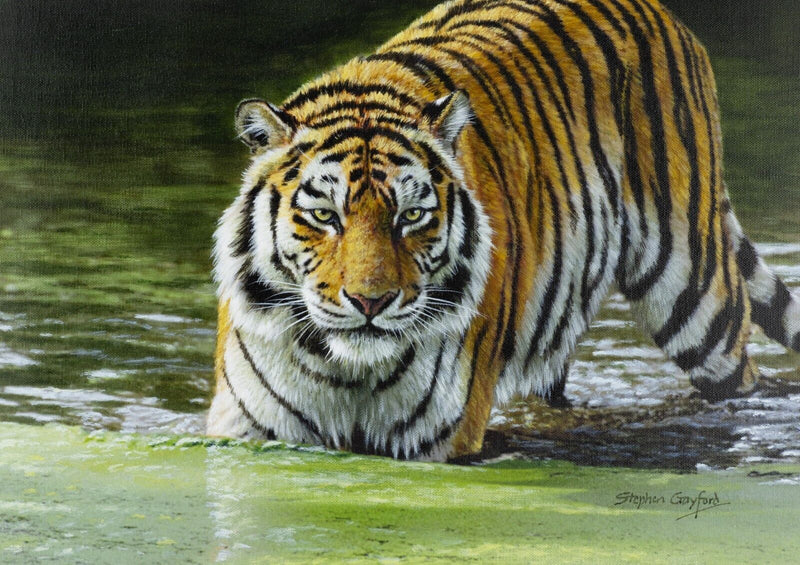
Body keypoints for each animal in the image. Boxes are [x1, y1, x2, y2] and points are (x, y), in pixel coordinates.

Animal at [207, 0, 800, 461]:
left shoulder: (442, 442)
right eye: (325, 216)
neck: (347, 371)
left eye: (411, 216)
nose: (371, 302)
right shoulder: (247, 430)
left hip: (697, 299)